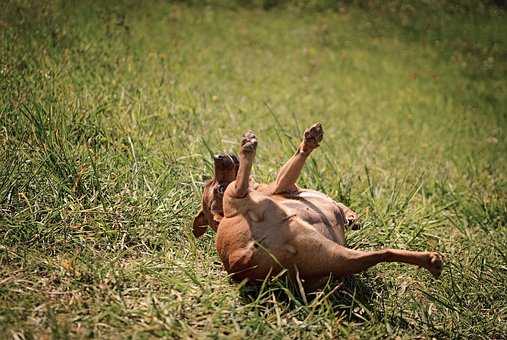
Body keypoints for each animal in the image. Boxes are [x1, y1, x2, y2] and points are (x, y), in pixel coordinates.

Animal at [194, 123, 444, 286]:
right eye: (218, 188)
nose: (217, 157)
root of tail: (237, 258)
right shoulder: (283, 183)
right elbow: (299, 159)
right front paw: (310, 140)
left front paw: (351, 217)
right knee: (240, 182)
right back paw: (247, 146)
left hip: (334, 258)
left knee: (383, 254)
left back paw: (430, 262)